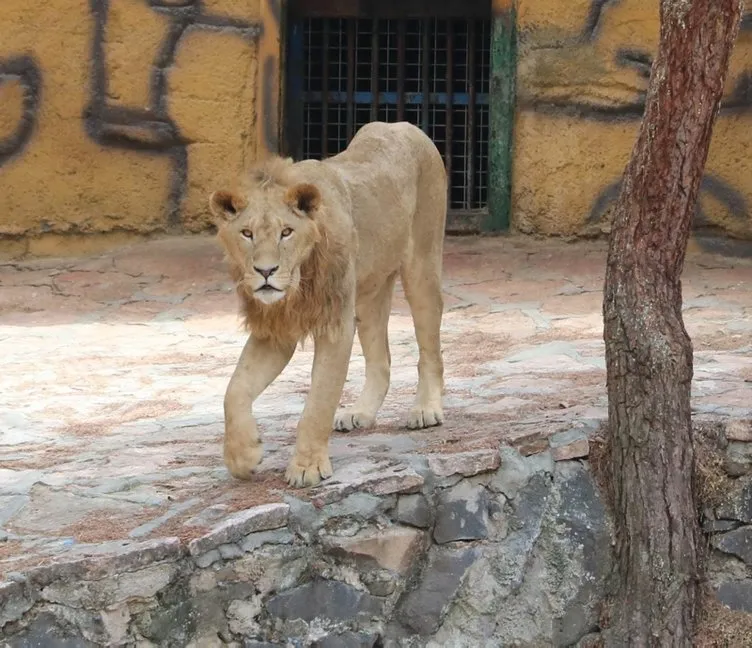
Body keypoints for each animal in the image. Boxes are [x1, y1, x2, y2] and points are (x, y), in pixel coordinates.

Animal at [210, 121, 446, 486]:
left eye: (286, 232)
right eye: (247, 233)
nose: (266, 271)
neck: (298, 283)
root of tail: (403, 125)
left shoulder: (335, 325)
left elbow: (319, 401)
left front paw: (307, 467)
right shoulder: (275, 331)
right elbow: (234, 390)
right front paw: (242, 456)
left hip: (422, 265)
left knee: (430, 350)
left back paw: (426, 409)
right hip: (368, 294)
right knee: (381, 360)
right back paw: (361, 413)